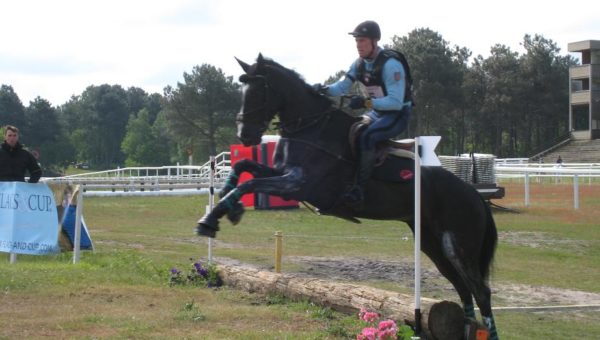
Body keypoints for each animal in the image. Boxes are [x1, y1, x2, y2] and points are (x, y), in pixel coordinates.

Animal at [196, 54, 496, 338]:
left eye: (260, 91)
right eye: (242, 89)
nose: (244, 135)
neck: (310, 127)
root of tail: (474, 195)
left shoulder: (297, 184)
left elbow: (250, 183)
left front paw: (210, 220)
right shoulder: (283, 173)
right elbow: (244, 168)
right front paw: (227, 204)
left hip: (457, 244)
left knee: (480, 290)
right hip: (432, 243)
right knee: (462, 287)